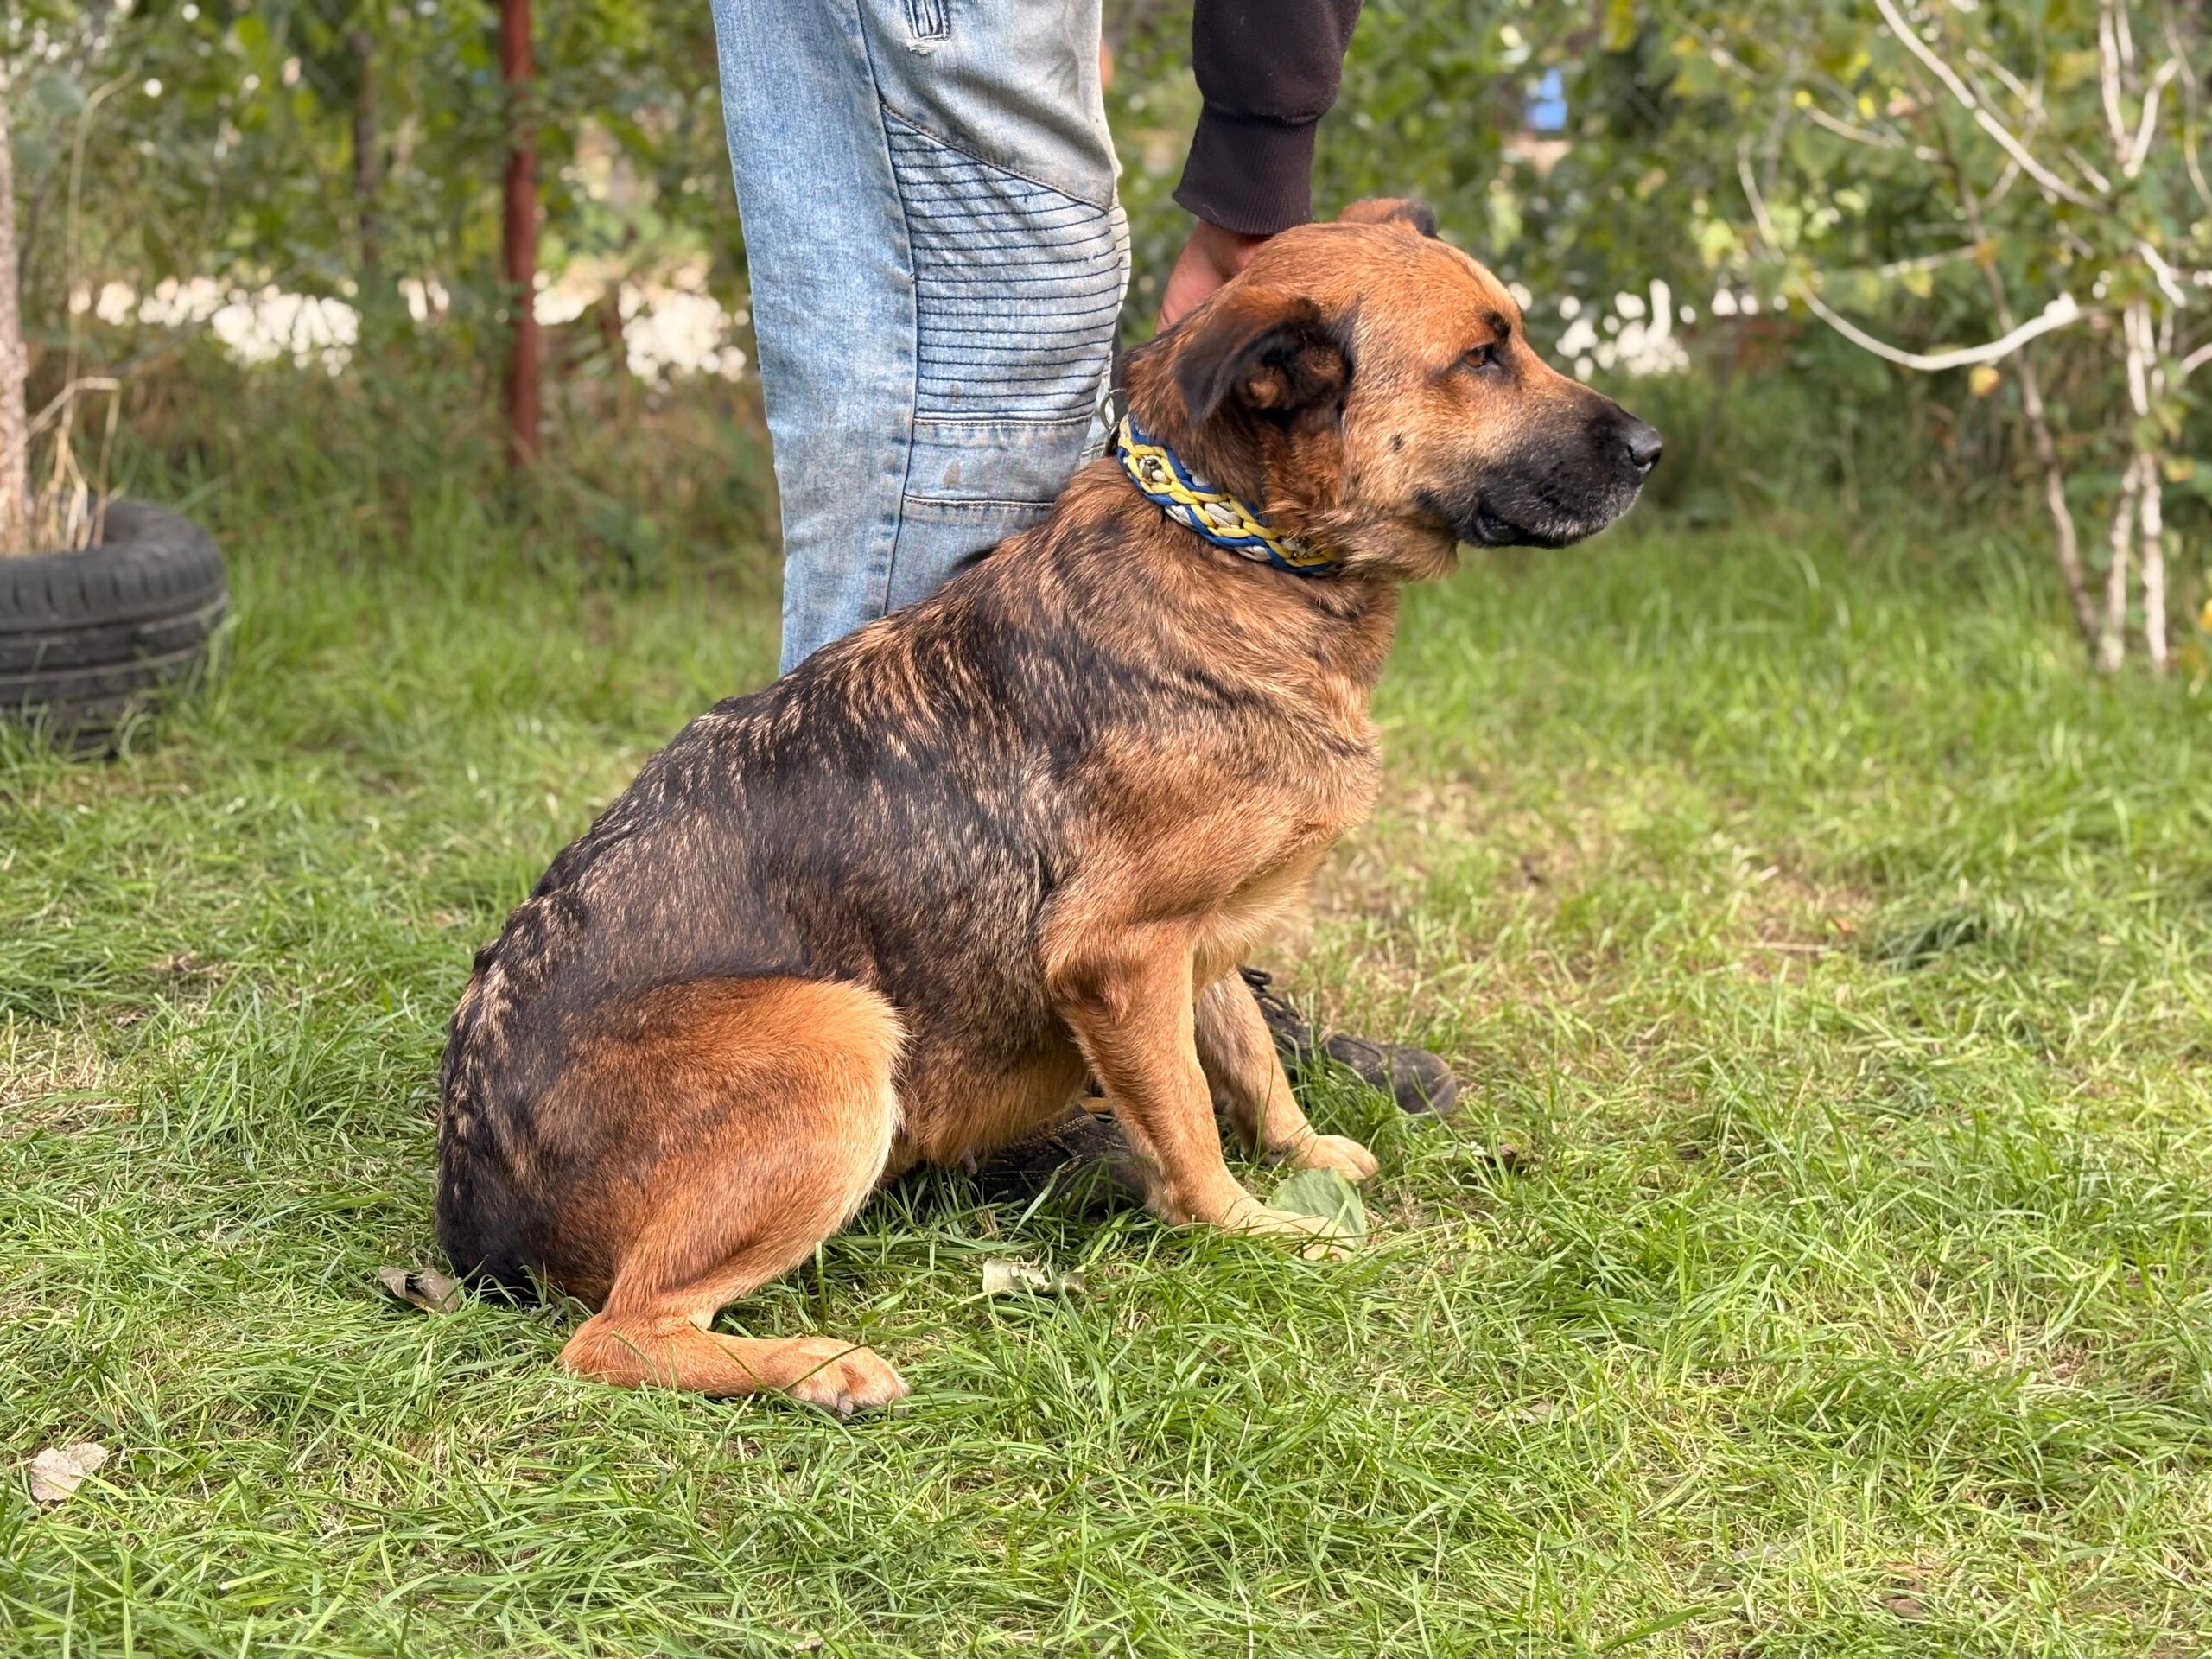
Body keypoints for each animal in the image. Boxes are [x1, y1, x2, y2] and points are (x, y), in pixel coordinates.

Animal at [436, 199, 1659, 1414]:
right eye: (1482, 358)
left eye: (1511, 340)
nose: (1652, 451)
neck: (1230, 548)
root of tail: (469, 1216)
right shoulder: (1118, 955)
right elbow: (1191, 1121)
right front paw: (1249, 1228)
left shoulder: (1191, 942)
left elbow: (1246, 1058)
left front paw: (1306, 1154)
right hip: (838, 1036)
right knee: (615, 1337)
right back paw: (819, 1368)